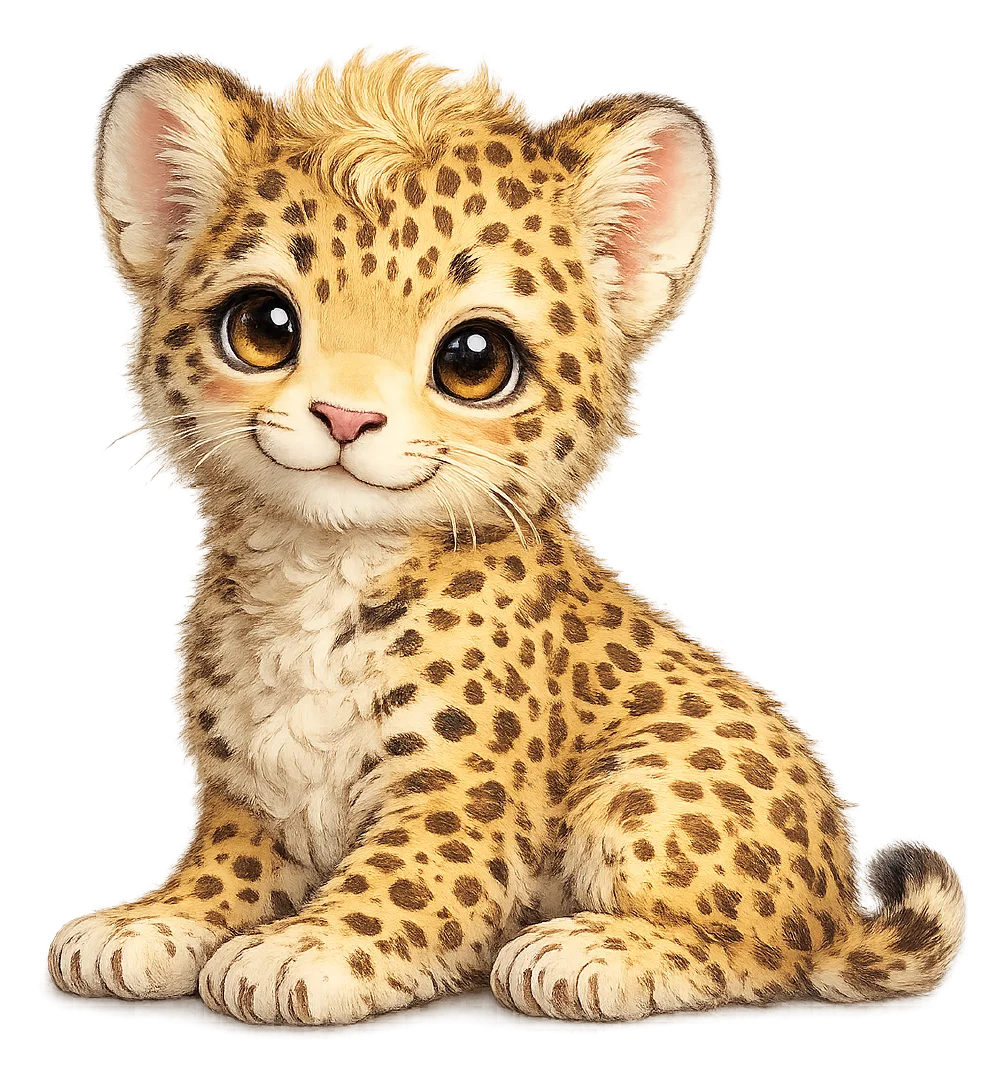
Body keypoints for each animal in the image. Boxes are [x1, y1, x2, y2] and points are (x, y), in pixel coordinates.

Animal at [48, 44, 965, 1025]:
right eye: (264, 326)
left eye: (474, 359)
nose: (345, 418)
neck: (321, 566)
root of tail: (841, 906)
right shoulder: (252, 795)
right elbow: (218, 868)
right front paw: (145, 922)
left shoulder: (461, 799)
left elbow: (396, 885)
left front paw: (300, 948)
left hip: (646, 781)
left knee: (767, 950)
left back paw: (586, 950)